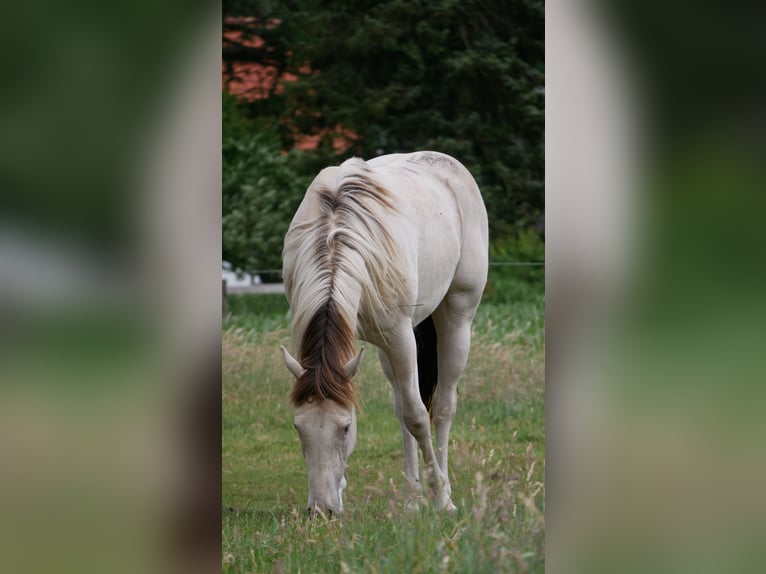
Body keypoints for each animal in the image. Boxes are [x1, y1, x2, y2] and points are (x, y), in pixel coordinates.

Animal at [280, 151, 488, 515]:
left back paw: (444, 494)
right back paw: (411, 499)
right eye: (298, 427)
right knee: (401, 404)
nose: (322, 510)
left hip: (457, 318)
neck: (336, 235)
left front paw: (440, 495)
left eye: (345, 428)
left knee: (442, 405)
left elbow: (418, 416)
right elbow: (405, 412)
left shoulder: (400, 337)